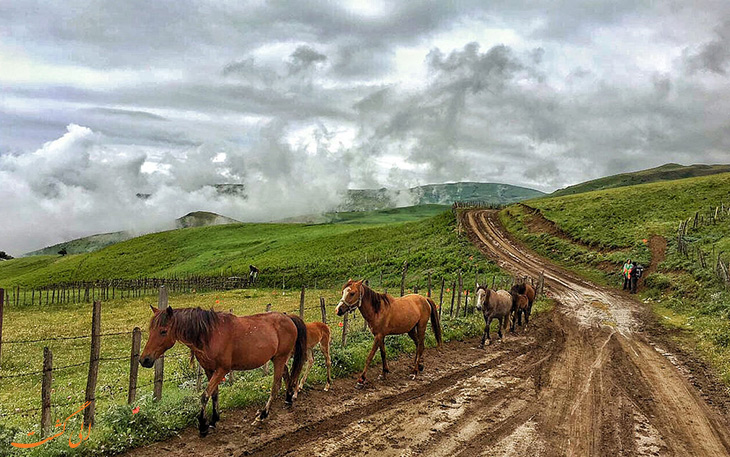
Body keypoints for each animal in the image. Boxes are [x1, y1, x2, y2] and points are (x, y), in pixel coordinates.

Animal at [139, 306, 304, 434]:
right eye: (150, 330)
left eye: (163, 331)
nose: (144, 360)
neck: (210, 335)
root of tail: (288, 318)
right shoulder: (209, 370)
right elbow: (214, 394)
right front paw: (213, 420)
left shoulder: (222, 370)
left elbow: (205, 395)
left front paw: (203, 425)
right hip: (277, 358)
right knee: (287, 375)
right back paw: (288, 399)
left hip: (280, 358)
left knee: (275, 386)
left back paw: (262, 415)